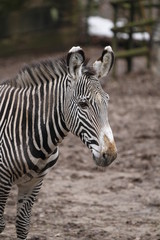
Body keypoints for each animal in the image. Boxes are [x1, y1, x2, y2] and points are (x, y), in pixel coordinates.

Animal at [0, 45, 116, 238]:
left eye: (107, 101)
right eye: (83, 104)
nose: (111, 154)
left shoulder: (34, 182)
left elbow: (23, 225)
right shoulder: (2, 182)